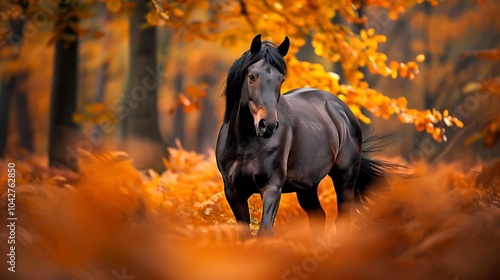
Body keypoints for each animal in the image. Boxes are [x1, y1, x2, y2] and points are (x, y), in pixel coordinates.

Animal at [215, 34, 386, 237]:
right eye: (251, 77)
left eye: (281, 79)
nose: (268, 125)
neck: (244, 145)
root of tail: (342, 110)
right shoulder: (233, 192)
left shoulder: (272, 186)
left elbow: (265, 231)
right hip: (307, 187)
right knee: (318, 218)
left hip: (345, 179)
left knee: (342, 220)